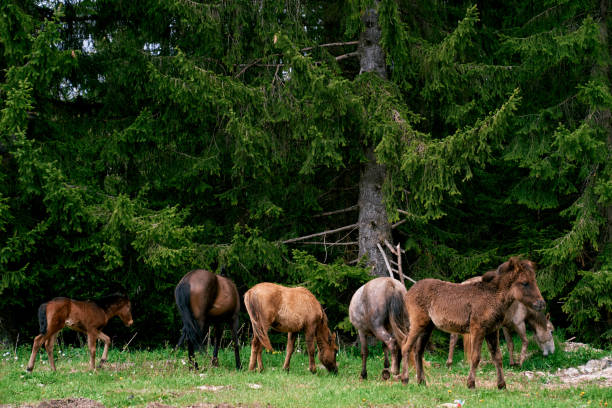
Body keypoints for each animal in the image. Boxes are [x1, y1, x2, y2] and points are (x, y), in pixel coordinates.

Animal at [402, 258, 544, 388]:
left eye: (535, 281)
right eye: (524, 283)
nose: (541, 304)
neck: (495, 298)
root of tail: (407, 294)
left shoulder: (492, 330)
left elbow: (497, 357)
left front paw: (501, 385)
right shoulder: (477, 328)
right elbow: (475, 357)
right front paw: (471, 384)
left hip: (427, 327)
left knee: (418, 351)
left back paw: (421, 381)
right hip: (418, 322)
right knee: (406, 346)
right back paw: (405, 379)